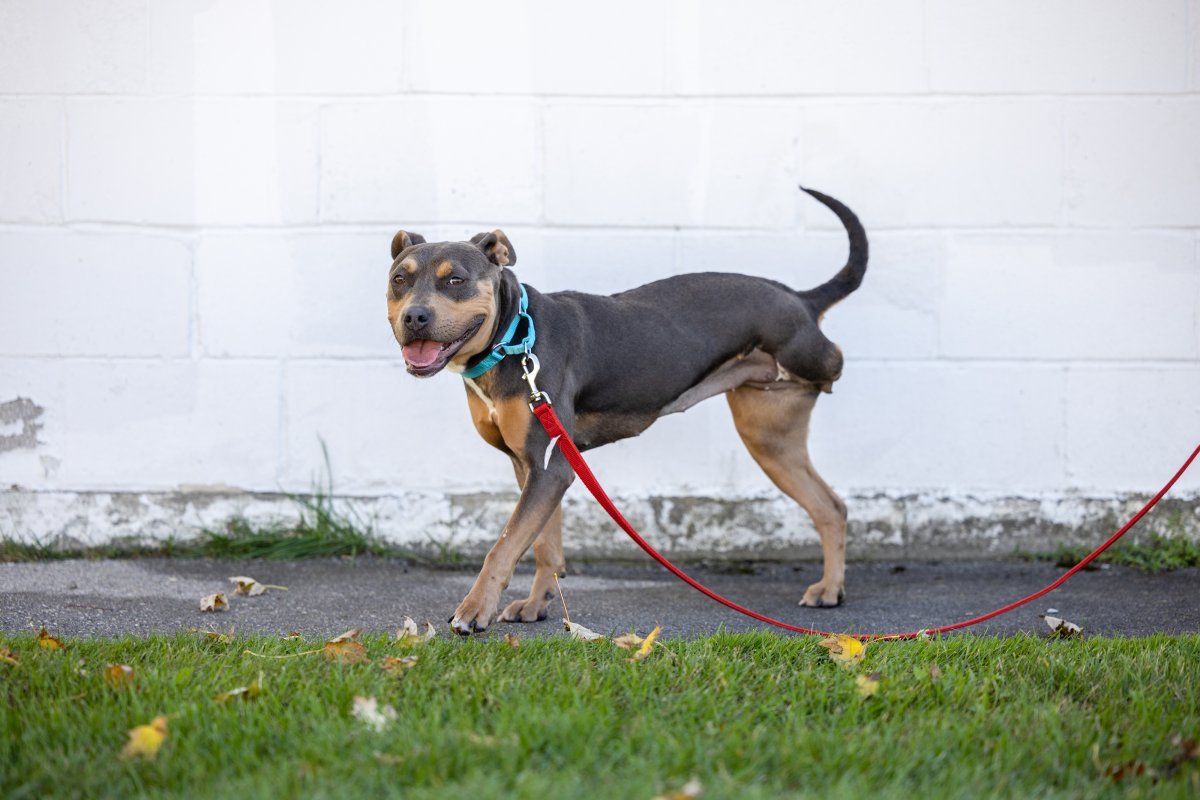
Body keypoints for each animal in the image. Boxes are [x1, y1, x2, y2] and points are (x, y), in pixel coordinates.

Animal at [388, 188, 868, 633]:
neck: (514, 336)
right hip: (770, 437)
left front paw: (473, 611)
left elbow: (503, 545)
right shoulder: (537, 467)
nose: (414, 316)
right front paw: (536, 604)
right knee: (830, 507)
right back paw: (831, 588)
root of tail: (800, 299)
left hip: (796, 377)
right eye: (398, 279)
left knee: (834, 364)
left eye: (456, 280)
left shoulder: (548, 468)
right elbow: (544, 545)